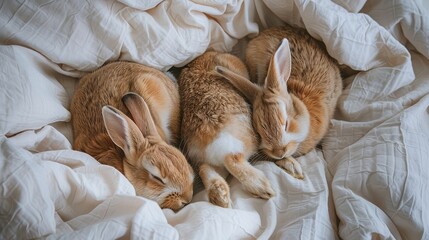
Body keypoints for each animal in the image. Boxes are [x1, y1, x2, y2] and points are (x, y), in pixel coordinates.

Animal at [177, 51, 274, 208]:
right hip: (242, 138)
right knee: (233, 159)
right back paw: (262, 187)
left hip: (207, 160)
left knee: (206, 168)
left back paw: (219, 196)